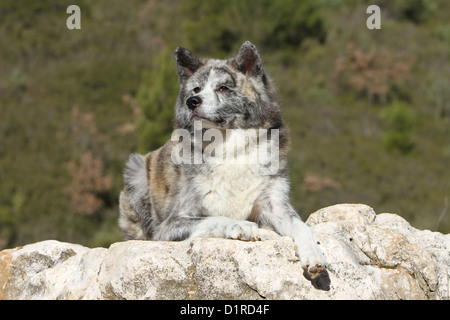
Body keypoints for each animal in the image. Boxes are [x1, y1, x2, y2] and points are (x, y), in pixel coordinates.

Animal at [118, 40, 326, 278]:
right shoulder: (169, 226)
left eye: (223, 88)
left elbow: (301, 226)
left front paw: (313, 254)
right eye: (196, 89)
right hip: (136, 171)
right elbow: (215, 218)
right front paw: (240, 225)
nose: (192, 101)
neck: (229, 149)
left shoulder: (275, 206)